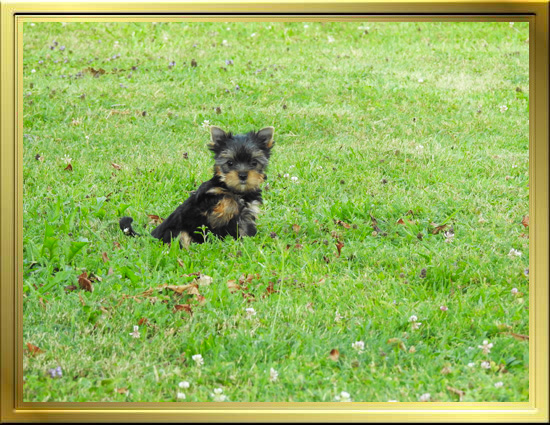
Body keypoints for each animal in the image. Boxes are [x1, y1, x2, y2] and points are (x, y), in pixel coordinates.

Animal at [121, 124, 276, 247]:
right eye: (230, 163)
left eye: (254, 163)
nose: (243, 175)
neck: (237, 190)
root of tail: (152, 237)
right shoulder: (202, 202)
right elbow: (226, 199)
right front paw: (227, 210)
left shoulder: (248, 214)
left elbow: (245, 229)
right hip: (176, 231)